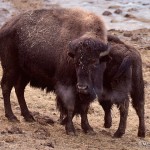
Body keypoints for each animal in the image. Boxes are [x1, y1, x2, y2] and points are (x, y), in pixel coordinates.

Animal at [0, 7, 109, 136]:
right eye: (76, 62)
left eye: (95, 63)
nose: (82, 87)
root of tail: (6, 26)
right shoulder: (66, 86)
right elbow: (70, 106)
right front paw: (70, 129)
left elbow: (84, 108)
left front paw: (88, 128)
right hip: (11, 68)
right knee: (6, 87)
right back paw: (12, 117)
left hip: (25, 73)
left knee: (19, 89)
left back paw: (28, 116)